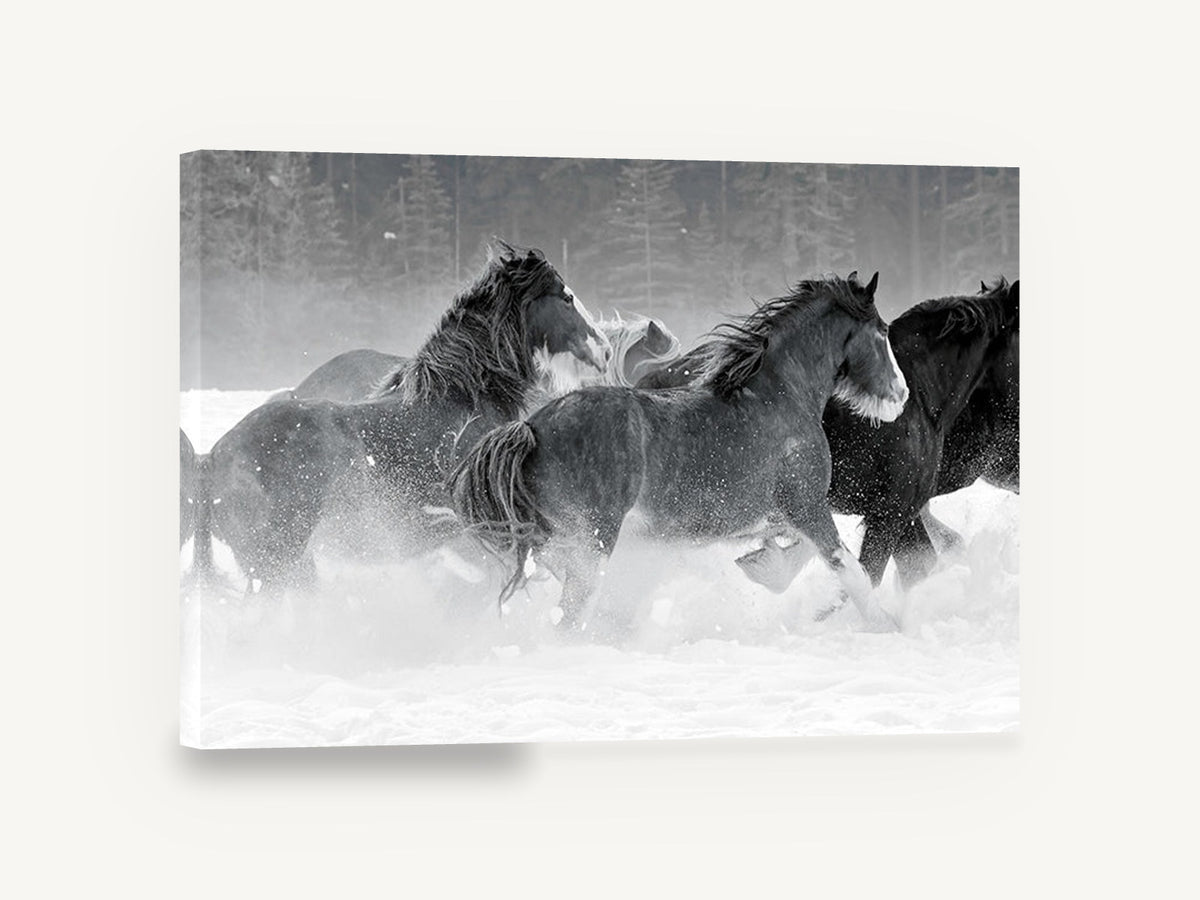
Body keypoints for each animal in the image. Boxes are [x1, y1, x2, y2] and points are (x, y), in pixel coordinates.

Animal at [450, 272, 909, 631]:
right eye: (883, 332)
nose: (901, 394)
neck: (781, 396)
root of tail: (531, 428)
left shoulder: (779, 517)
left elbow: (798, 557)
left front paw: (764, 568)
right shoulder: (806, 506)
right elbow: (848, 568)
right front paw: (886, 624)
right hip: (592, 542)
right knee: (568, 616)